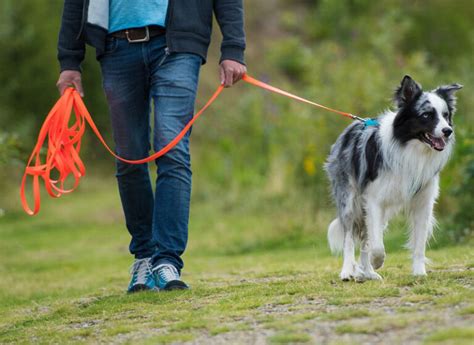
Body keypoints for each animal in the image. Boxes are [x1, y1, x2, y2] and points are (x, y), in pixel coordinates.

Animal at [324, 75, 462, 280]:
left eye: (446, 115)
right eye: (426, 115)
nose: (448, 131)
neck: (411, 147)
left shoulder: (423, 202)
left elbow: (419, 243)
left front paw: (419, 273)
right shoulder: (374, 200)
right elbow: (376, 245)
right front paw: (377, 261)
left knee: (366, 238)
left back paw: (368, 273)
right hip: (349, 201)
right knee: (350, 238)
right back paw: (348, 271)